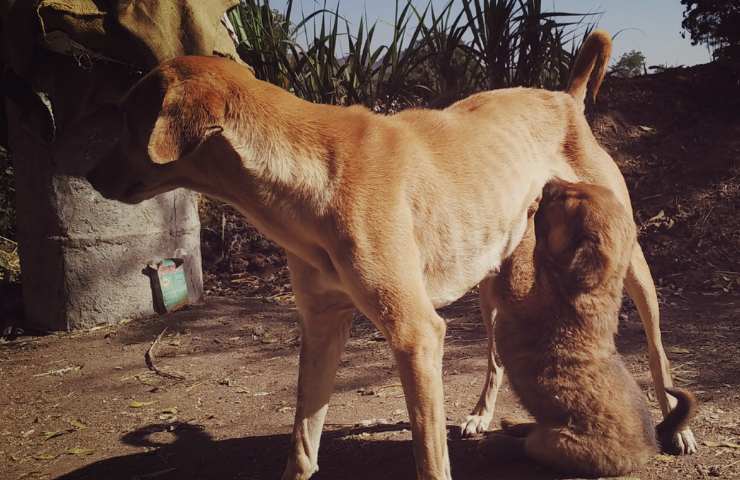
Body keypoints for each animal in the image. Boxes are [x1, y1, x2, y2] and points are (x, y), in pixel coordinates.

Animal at [482, 179, 696, 476]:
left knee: (529, 446)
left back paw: (502, 443)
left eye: (570, 199)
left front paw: (530, 211)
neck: (592, 288)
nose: (549, 181)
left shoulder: (521, 288)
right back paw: (514, 423)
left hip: (556, 442)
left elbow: (527, 249)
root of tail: (651, 444)